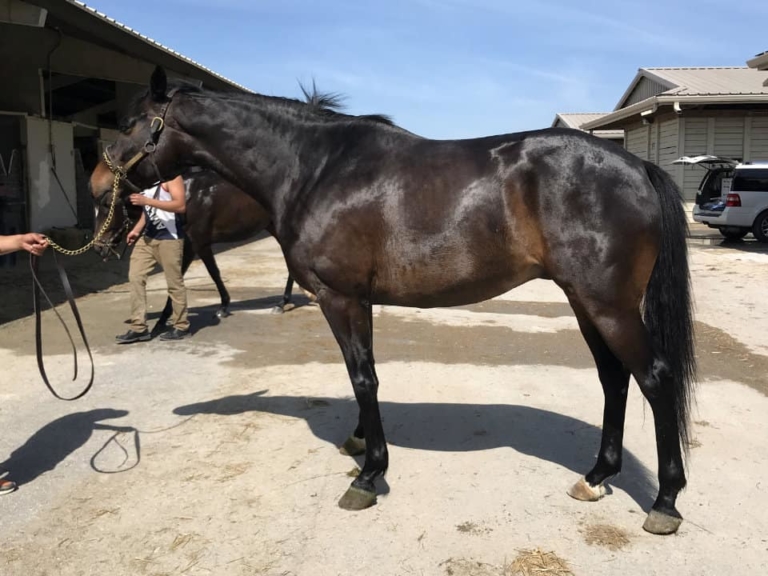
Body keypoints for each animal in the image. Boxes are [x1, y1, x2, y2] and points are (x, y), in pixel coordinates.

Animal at [90, 66, 696, 535]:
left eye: (130, 124)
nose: (98, 185)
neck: (315, 168)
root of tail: (635, 166)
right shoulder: (358, 299)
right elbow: (363, 373)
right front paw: (360, 443)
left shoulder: (340, 297)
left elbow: (363, 376)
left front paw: (369, 474)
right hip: (585, 301)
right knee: (614, 378)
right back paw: (596, 478)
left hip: (609, 305)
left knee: (653, 377)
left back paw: (665, 503)